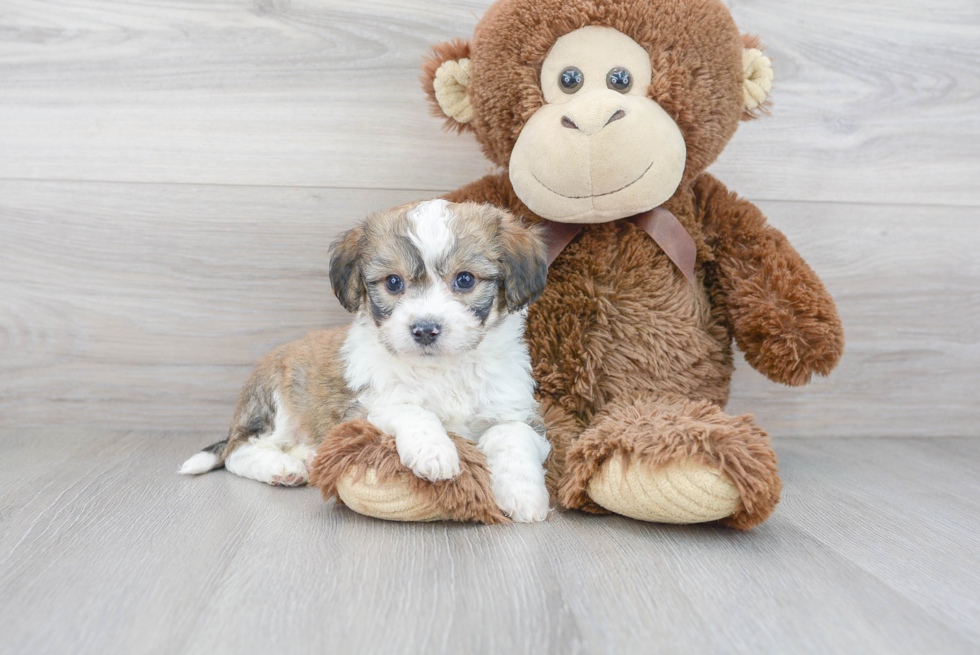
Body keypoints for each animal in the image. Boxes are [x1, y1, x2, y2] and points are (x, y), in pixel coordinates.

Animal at [181, 200, 556, 524]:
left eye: (465, 280)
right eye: (393, 282)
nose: (425, 329)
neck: (442, 369)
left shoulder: (517, 411)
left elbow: (512, 436)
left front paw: (524, 495)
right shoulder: (365, 407)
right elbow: (410, 409)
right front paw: (434, 450)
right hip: (276, 402)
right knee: (236, 452)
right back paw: (281, 467)